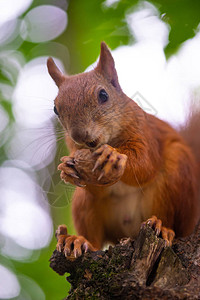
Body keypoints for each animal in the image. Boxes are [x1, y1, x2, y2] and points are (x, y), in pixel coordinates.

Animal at [46, 41, 198, 258]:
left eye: (103, 95)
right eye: (55, 109)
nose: (79, 135)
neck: (109, 139)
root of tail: (130, 231)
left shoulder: (145, 132)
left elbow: (146, 165)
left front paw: (113, 155)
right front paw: (66, 168)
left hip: (177, 178)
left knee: (174, 224)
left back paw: (164, 228)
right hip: (84, 203)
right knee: (94, 237)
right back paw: (78, 240)